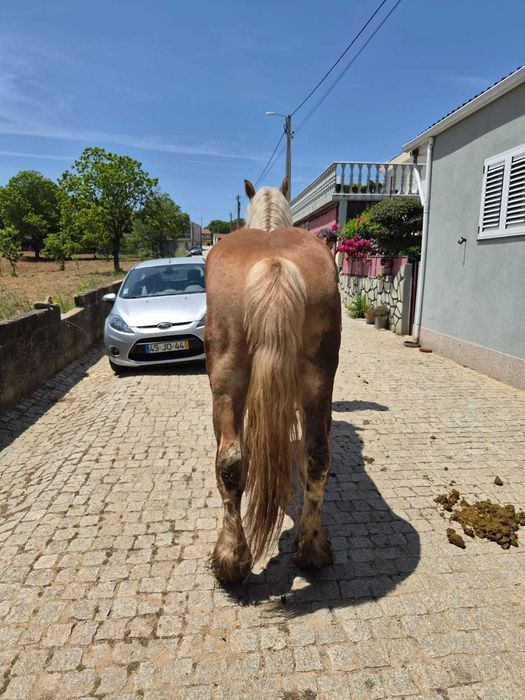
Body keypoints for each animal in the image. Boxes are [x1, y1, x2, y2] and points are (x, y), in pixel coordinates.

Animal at [204, 176, 341, 584]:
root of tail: (274, 262)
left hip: (226, 381)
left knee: (230, 462)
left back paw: (231, 560)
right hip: (318, 379)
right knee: (317, 455)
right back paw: (311, 550)